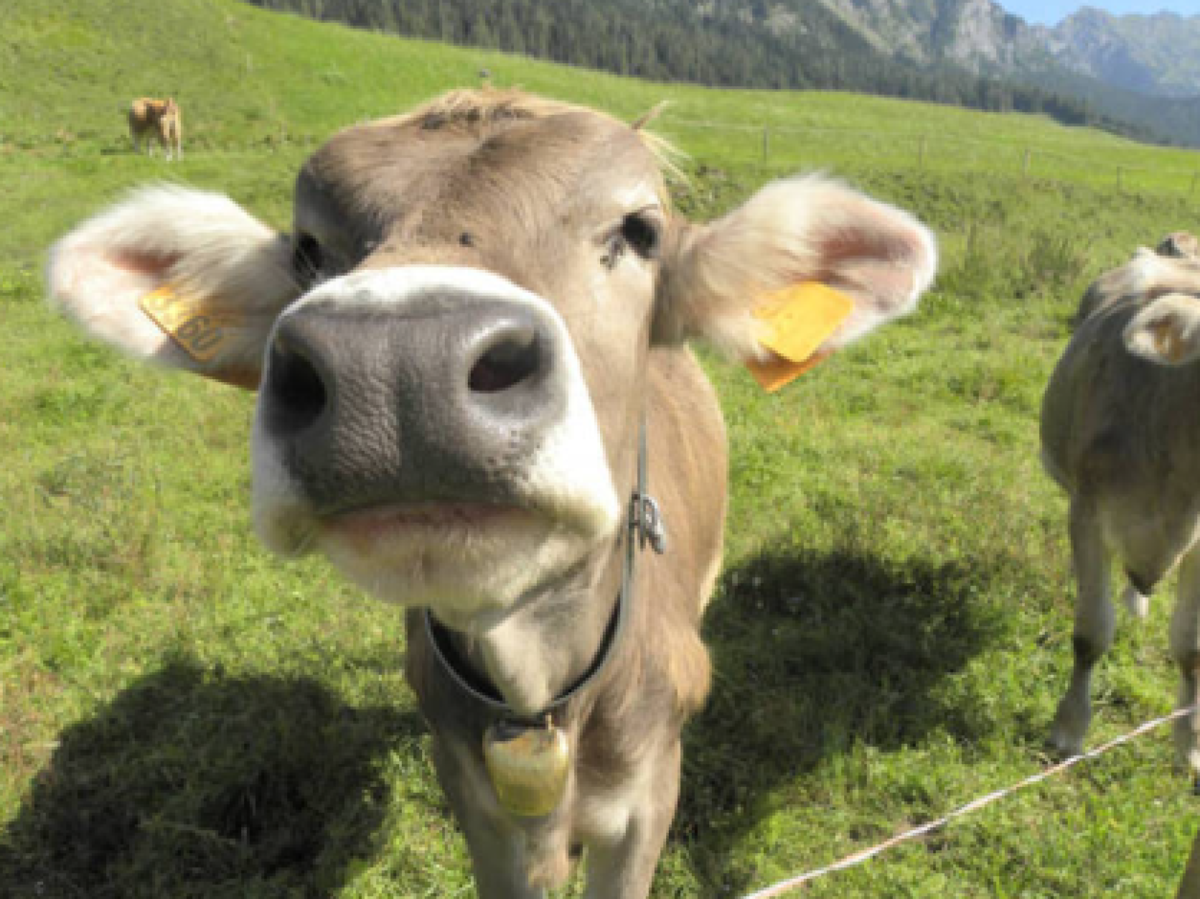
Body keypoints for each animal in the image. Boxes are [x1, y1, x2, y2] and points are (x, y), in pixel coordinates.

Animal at [48, 89, 936, 897]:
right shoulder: (475, 798)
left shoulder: (651, 793)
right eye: (307, 247)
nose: (397, 365)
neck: (537, 682)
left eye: (639, 230)